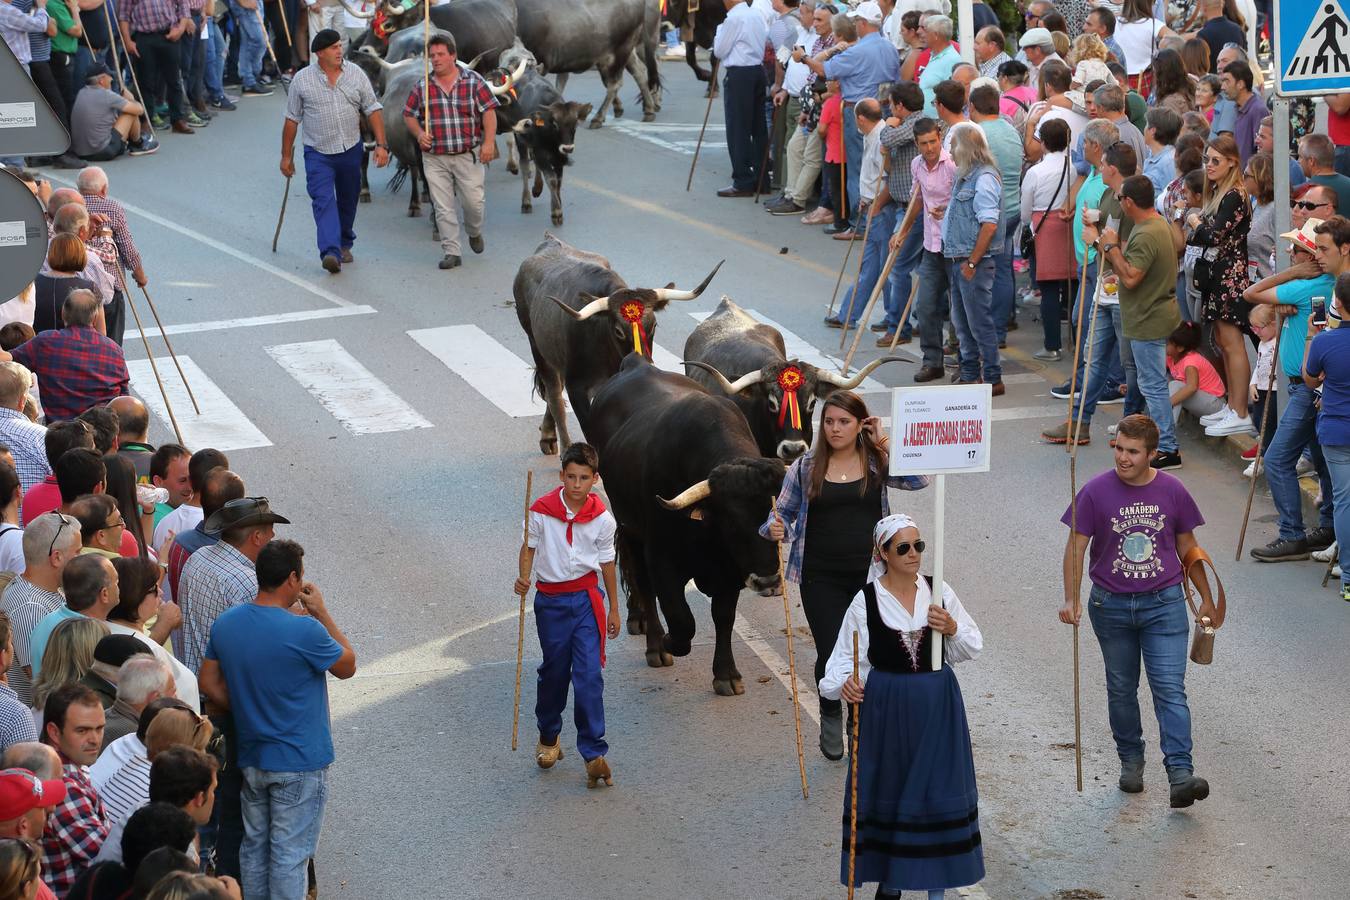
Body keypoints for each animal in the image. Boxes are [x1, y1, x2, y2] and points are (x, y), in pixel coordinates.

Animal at [510, 232, 723, 453]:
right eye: (619, 331)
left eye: (654, 325)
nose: (644, 360)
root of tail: (550, 240)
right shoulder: (576, 387)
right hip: (537, 346)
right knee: (555, 396)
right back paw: (557, 442)